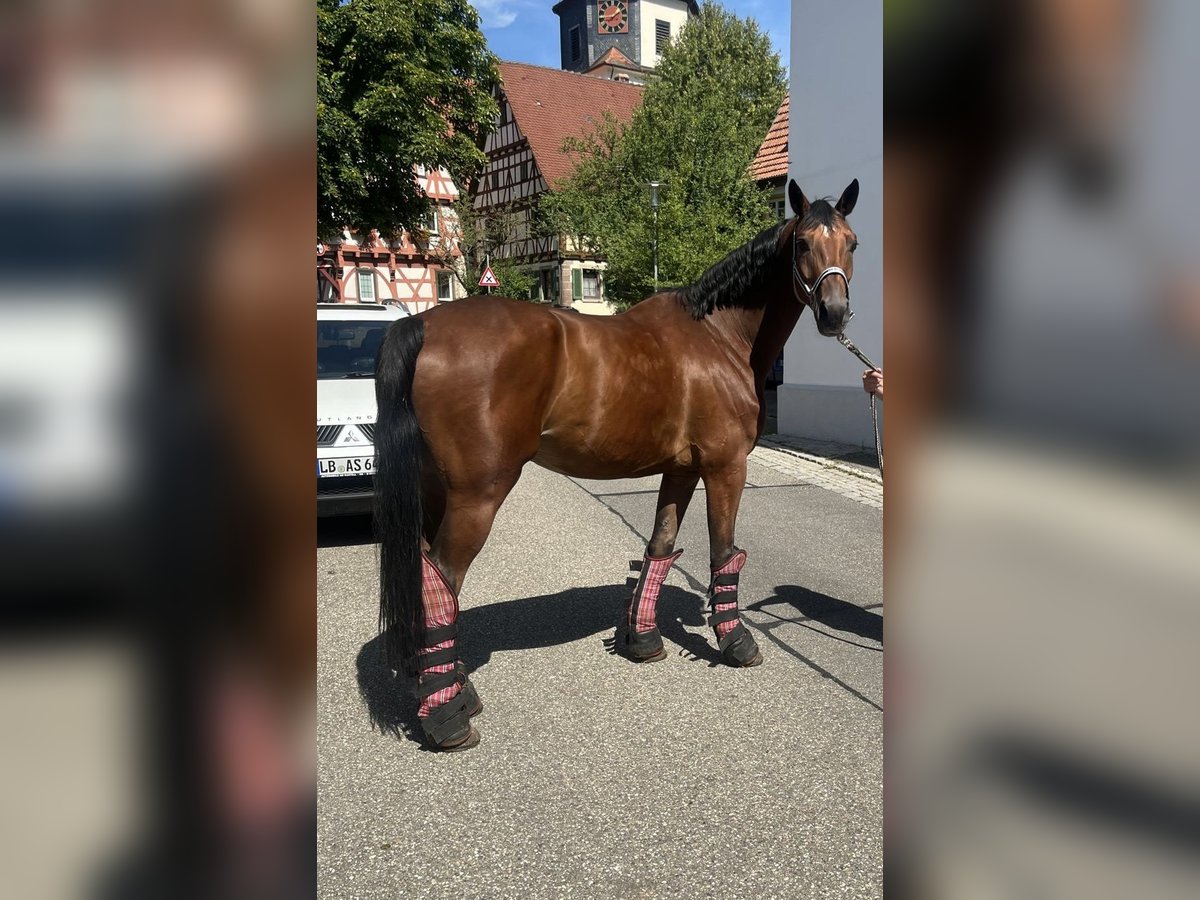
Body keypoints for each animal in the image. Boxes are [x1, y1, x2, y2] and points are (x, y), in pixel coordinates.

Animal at [372, 180, 854, 748]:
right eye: (802, 243)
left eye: (852, 242)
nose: (835, 313)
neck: (719, 336)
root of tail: (421, 322)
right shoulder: (725, 467)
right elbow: (724, 552)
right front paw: (736, 642)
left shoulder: (681, 469)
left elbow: (661, 546)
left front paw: (642, 640)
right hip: (477, 494)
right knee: (443, 579)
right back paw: (447, 716)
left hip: (434, 489)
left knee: (425, 572)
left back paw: (450, 689)